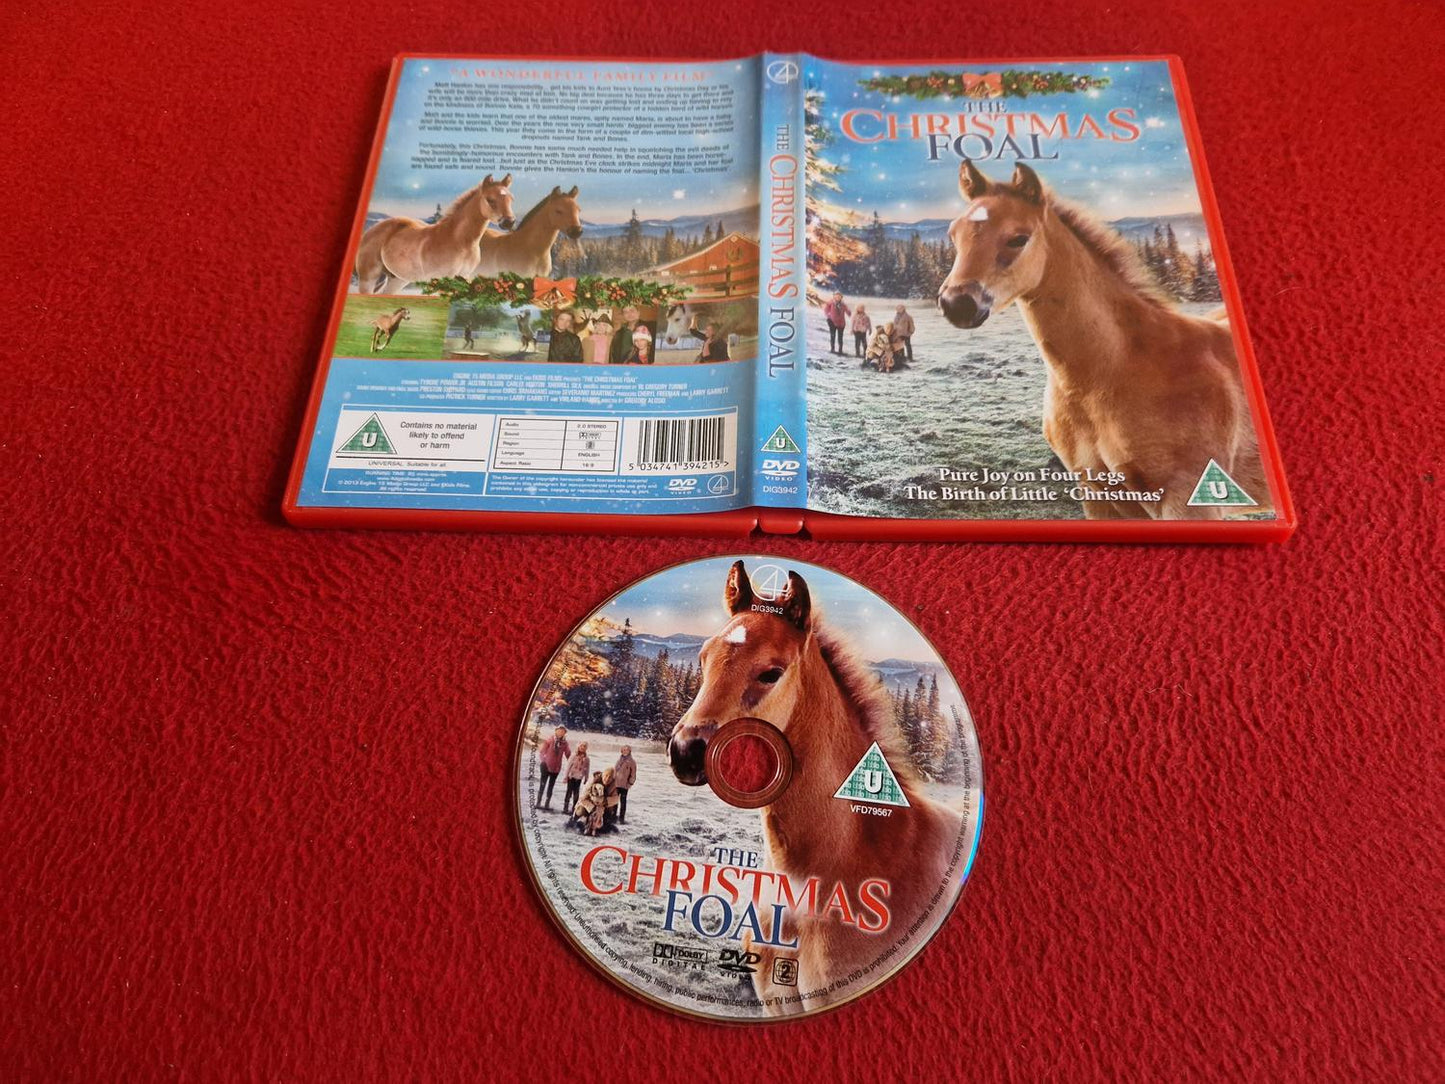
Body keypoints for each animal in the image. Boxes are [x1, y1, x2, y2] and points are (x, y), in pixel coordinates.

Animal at [355, 174, 515, 295]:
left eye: (511, 199)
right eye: (490, 199)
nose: (509, 222)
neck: (459, 241)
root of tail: (371, 231)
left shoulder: (464, 278)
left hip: (397, 280)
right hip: (368, 278)